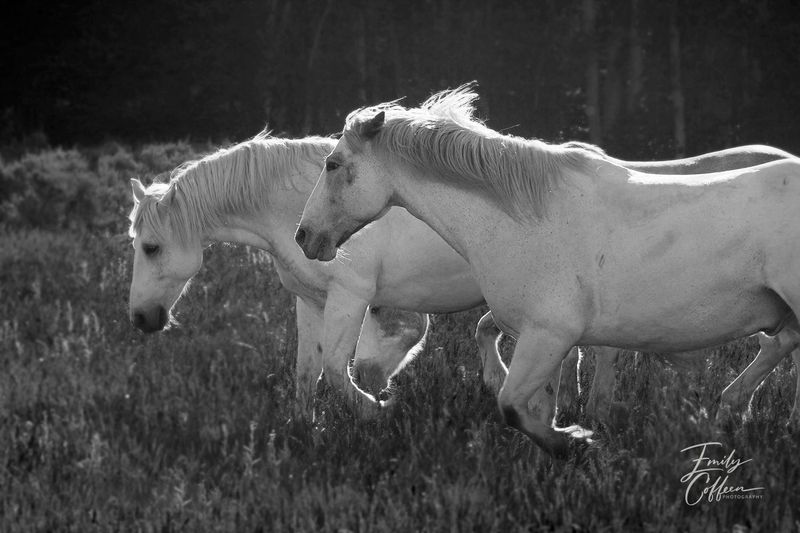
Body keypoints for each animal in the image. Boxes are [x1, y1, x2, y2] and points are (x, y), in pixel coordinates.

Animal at [295, 85, 800, 456]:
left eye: (333, 164)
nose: (304, 236)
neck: (525, 218)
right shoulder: (546, 343)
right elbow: (540, 405)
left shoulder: (547, 335)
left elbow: (511, 405)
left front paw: (573, 443)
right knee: (778, 346)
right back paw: (734, 408)